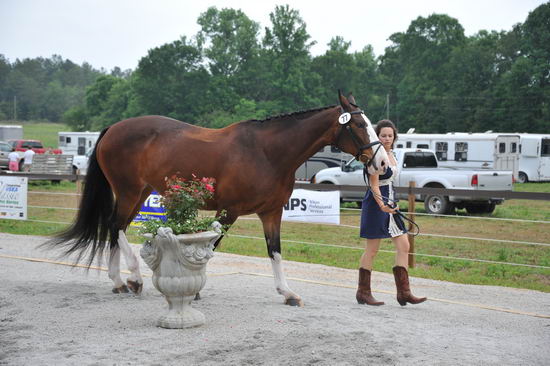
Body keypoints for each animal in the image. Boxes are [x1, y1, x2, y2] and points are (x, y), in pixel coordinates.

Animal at [48, 91, 392, 306]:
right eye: (358, 124)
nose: (382, 163)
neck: (268, 153)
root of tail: (112, 129)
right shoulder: (230, 211)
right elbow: (209, 249)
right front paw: (195, 290)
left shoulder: (271, 213)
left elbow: (275, 252)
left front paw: (287, 293)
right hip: (130, 190)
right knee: (116, 226)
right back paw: (133, 277)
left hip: (138, 192)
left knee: (113, 228)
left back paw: (119, 282)